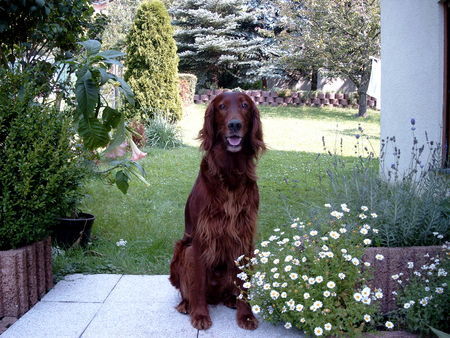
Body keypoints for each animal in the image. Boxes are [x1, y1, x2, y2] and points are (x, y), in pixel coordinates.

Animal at [171, 92, 266, 330]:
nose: (234, 125)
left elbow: (244, 283)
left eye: (245, 105)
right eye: (222, 107)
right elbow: (196, 284)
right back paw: (186, 305)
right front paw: (199, 315)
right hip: (182, 250)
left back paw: (231, 299)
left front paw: (246, 315)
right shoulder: (200, 238)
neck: (230, 172)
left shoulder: (245, 237)